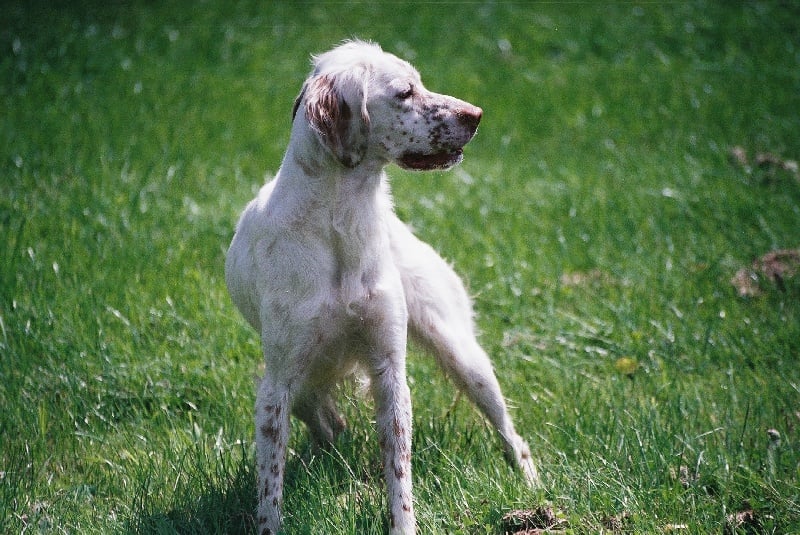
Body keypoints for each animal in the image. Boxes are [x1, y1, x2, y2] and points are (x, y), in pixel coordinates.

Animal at [225, 39, 536, 532]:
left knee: (511, 433)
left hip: (463, 356)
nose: (477, 114)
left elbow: (399, 474)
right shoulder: (277, 386)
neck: (341, 226)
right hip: (299, 387)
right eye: (405, 92)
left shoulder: (391, 373)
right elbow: (270, 485)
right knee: (328, 425)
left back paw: (530, 484)